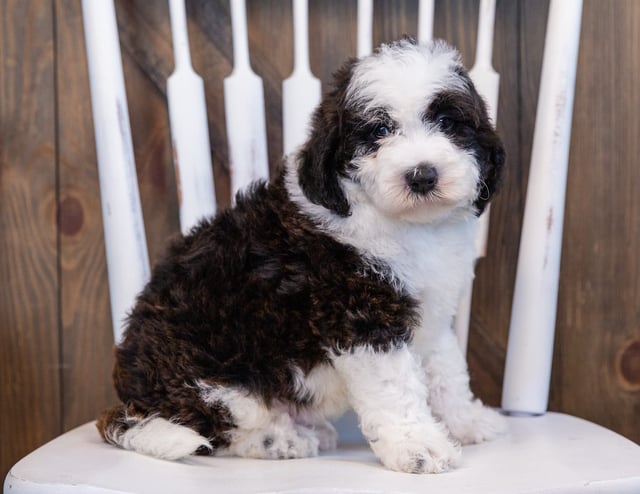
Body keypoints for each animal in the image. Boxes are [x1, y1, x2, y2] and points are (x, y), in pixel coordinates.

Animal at [96, 39, 504, 474]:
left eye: (448, 123)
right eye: (379, 130)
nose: (422, 176)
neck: (407, 222)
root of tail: (131, 404)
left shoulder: (434, 309)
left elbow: (447, 371)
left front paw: (467, 422)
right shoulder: (362, 315)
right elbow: (395, 386)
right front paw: (419, 447)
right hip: (209, 380)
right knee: (215, 430)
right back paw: (281, 440)